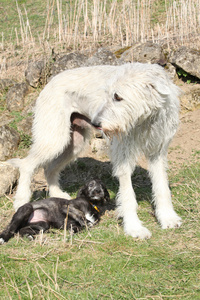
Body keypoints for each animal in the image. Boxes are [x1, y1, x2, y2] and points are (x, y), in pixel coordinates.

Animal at [9, 62, 181, 239]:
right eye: (108, 94)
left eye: (118, 96)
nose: (96, 123)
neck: (145, 120)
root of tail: (50, 81)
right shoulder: (123, 156)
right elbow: (127, 194)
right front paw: (134, 227)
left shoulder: (158, 152)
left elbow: (161, 187)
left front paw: (167, 217)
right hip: (53, 139)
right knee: (27, 165)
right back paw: (21, 200)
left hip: (74, 144)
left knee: (49, 169)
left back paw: (57, 194)